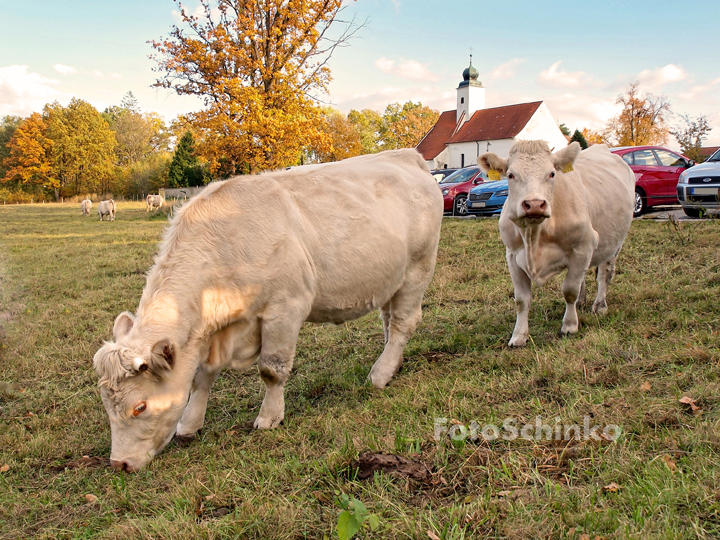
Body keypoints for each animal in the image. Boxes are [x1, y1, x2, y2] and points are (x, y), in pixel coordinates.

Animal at [93, 149, 442, 472]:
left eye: (140, 406)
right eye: (106, 404)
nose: (119, 463)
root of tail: (407, 156)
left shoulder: (285, 308)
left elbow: (272, 370)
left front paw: (269, 417)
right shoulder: (209, 334)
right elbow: (201, 377)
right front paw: (190, 423)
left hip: (418, 268)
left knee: (404, 323)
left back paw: (380, 375)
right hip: (390, 278)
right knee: (389, 321)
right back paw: (391, 364)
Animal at [480, 141, 632, 348]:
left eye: (552, 173)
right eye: (510, 175)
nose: (535, 204)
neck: (535, 235)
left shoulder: (583, 247)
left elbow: (569, 290)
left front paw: (569, 326)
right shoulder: (512, 255)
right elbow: (521, 299)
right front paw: (519, 335)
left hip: (614, 244)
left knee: (604, 275)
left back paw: (599, 306)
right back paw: (581, 303)